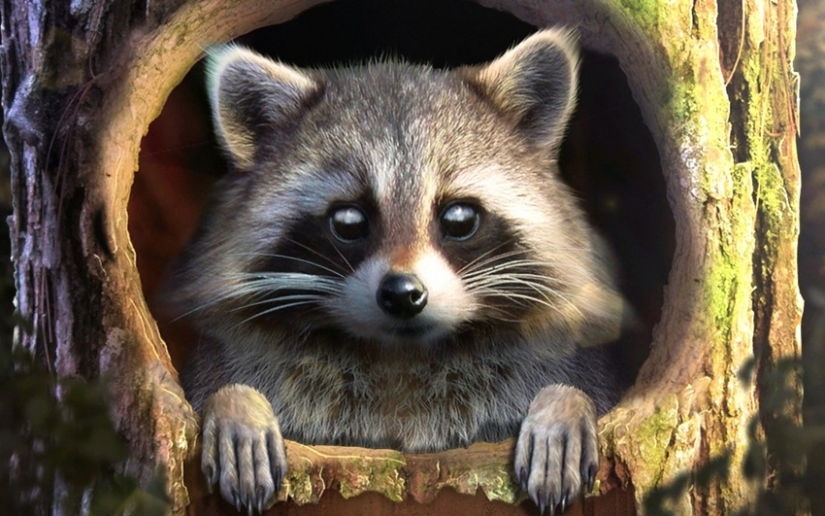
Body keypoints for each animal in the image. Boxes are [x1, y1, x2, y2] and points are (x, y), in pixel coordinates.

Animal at [168, 29, 628, 515]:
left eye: (459, 217)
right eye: (348, 220)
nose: (404, 294)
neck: (400, 358)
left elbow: (578, 386)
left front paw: (563, 405)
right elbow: (222, 385)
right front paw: (236, 405)